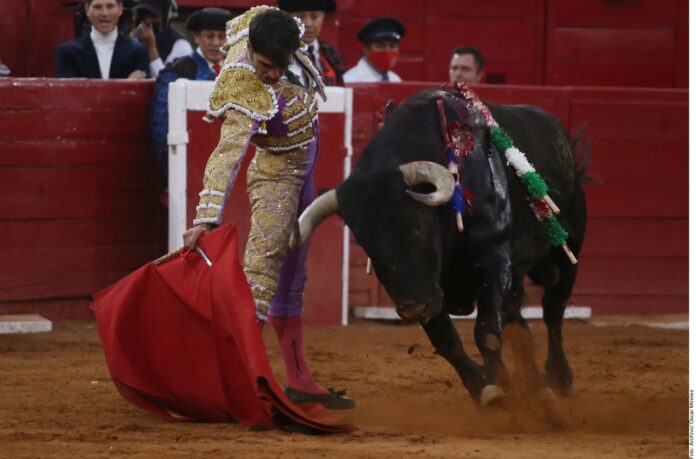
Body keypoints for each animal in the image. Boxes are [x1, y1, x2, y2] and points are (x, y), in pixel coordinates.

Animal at [292, 88, 588, 404]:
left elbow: (487, 331)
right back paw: (535, 383)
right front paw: (484, 387)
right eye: (364, 242)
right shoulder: (427, 289)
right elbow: (446, 340)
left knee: (552, 310)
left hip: (569, 249)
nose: (413, 308)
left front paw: (499, 381)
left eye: (417, 226)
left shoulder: (492, 258)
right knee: (515, 316)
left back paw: (558, 377)